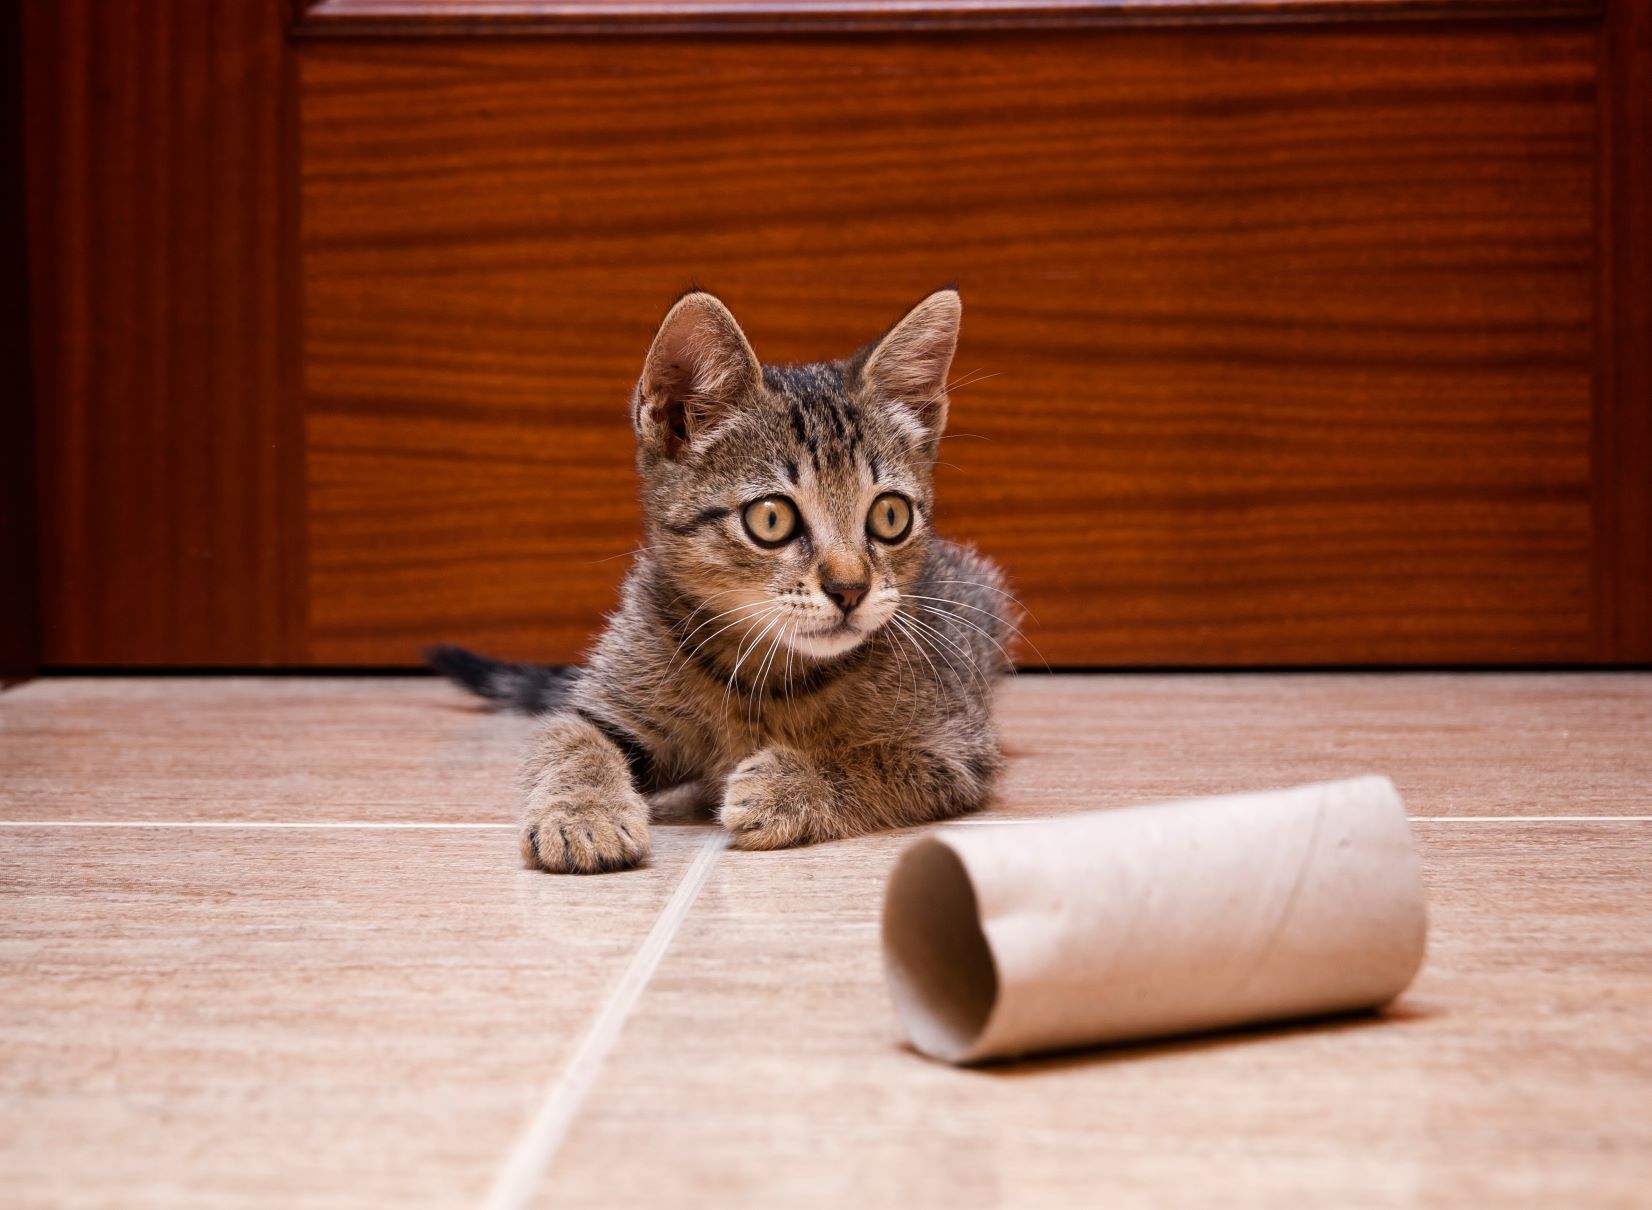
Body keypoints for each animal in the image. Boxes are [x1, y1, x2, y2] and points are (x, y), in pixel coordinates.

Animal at [426, 285, 1011, 872]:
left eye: (890, 516)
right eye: (772, 519)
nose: (849, 589)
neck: (767, 675)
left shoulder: (954, 749)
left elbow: (873, 759)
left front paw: (789, 783)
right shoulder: (600, 708)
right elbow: (571, 742)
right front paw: (581, 814)